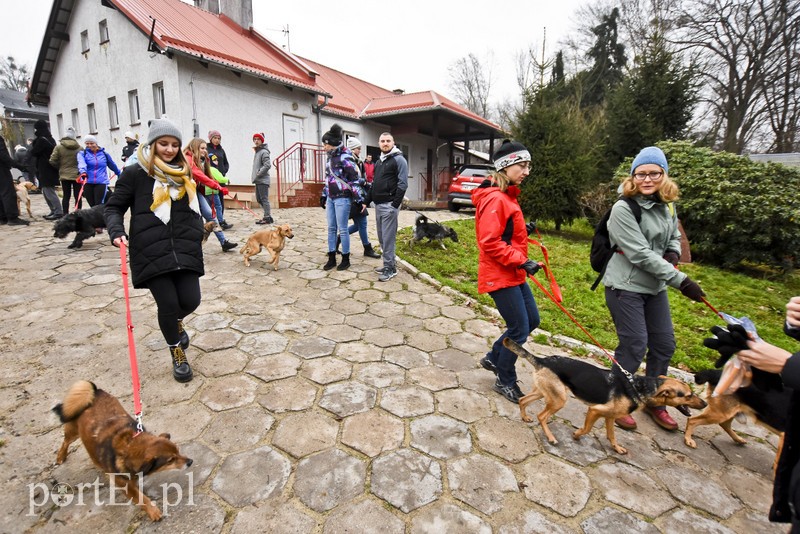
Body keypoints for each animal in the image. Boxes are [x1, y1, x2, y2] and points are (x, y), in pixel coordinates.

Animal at [53, 382, 194, 524]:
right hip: (73, 431)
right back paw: (61, 456)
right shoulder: (124, 485)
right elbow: (141, 498)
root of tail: (94, 391)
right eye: (170, 460)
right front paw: (153, 511)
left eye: (178, 451)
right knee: (65, 442)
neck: (129, 446)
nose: (190, 461)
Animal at [504, 342, 704, 454]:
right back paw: (551, 437)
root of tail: (542, 359)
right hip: (559, 399)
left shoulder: (610, 417)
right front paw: (576, 435)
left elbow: (612, 435)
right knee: (542, 416)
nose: (704, 403)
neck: (639, 387)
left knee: (523, 400)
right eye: (688, 395)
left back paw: (525, 417)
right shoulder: (595, 410)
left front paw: (617, 448)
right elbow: (586, 429)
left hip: (546, 392)